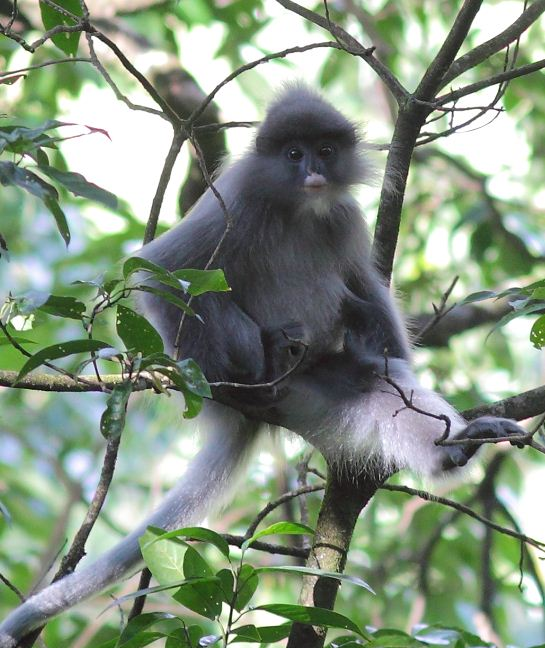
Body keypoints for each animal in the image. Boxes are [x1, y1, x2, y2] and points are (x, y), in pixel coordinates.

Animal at [0, 83, 524, 644]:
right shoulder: (237, 199)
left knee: (378, 384)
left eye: (324, 150)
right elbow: (161, 269)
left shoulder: (346, 220)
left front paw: (373, 334)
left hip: (311, 392)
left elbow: (380, 323)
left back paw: (455, 446)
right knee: (221, 309)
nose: (312, 169)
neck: (299, 209)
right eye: (293, 154)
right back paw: (259, 364)